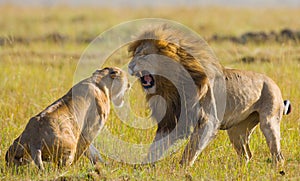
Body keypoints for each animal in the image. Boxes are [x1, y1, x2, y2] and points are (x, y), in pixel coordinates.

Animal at [127, 25, 292, 167]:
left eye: (144, 56)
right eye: (134, 55)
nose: (129, 66)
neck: (173, 84)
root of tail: (273, 83)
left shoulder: (208, 120)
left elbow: (191, 149)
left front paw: (182, 168)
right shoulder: (172, 118)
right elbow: (156, 146)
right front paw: (144, 166)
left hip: (269, 121)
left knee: (278, 155)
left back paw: (276, 168)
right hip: (237, 131)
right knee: (247, 155)